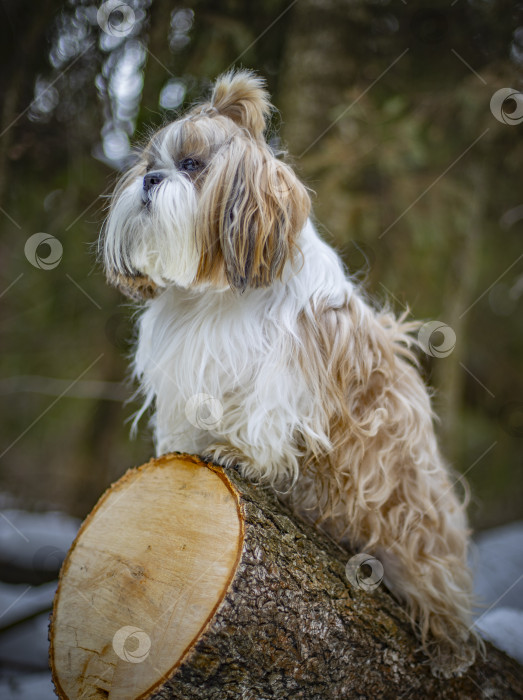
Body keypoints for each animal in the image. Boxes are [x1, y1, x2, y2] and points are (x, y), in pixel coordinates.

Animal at [98, 71, 484, 680]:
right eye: (148, 161)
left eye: (192, 165)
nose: (150, 179)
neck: (216, 293)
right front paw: (191, 444)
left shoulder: (289, 368)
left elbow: (265, 417)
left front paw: (240, 454)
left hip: (413, 524)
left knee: (437, 587)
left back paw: (447, 641)